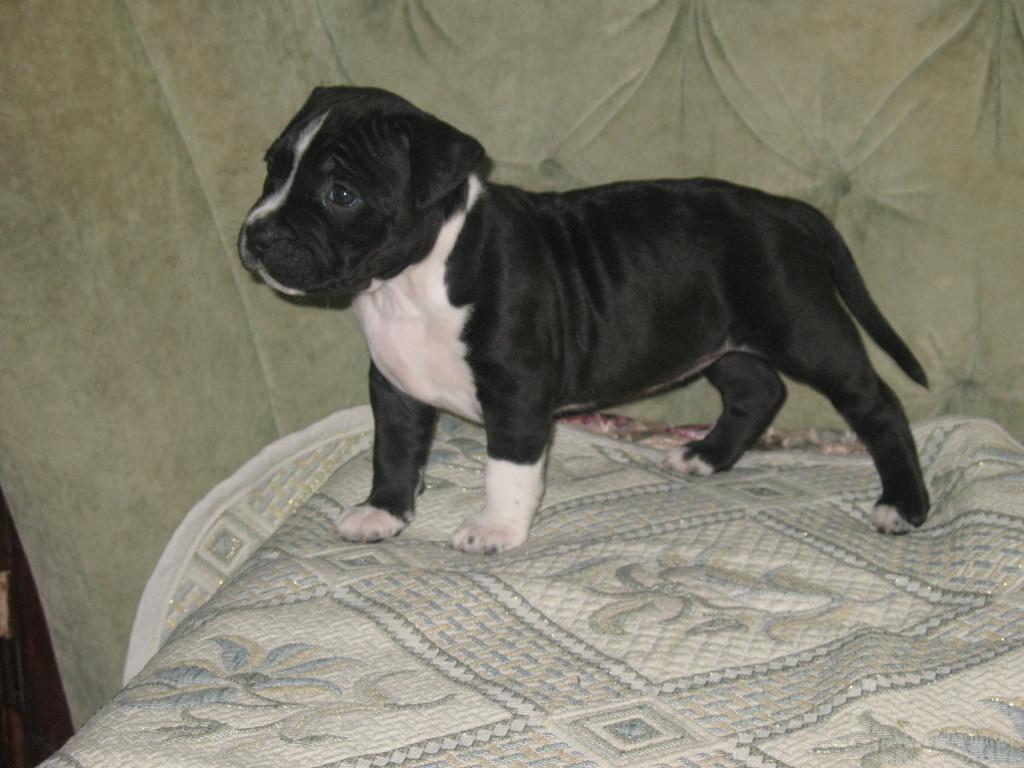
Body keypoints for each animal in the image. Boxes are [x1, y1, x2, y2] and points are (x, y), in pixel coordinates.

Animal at [238, 86, 930, 554]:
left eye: (341, 195)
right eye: (272, 167)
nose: (256, 236)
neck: (411, 281)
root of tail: (782, 207)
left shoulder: (516, 390)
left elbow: (508, 467)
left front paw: (497, 529)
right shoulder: (395, 386)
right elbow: (394, 450)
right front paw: (384, 511)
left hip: (803, 328)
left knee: (875, 402)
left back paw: (904, 503)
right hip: (717, 338)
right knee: (757, 389)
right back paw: (706, 455)